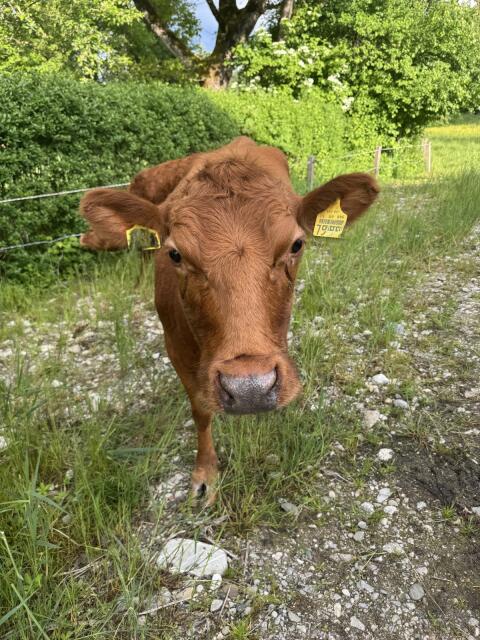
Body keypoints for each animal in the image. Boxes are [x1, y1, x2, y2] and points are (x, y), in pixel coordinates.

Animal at [79, 136, 379, 504]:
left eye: (296, 244)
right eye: (175, 254)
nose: (250, 389)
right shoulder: (175, 344)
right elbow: (200, 409)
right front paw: (205, 473)